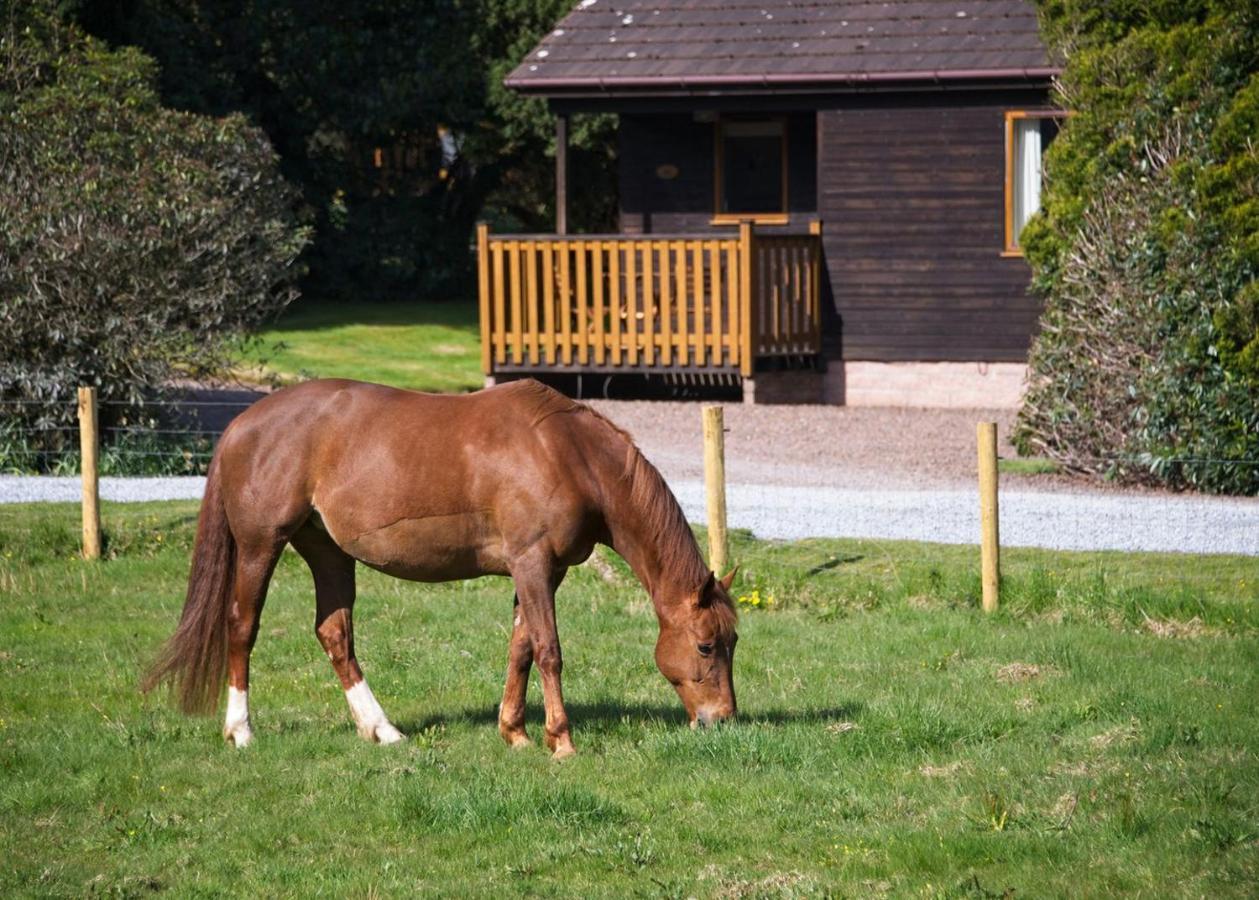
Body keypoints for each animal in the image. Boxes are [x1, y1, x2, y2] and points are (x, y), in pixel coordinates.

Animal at [144, 377, 735, 755]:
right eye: (706, 646)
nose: (722, 720)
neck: (568, 453)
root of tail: (242, 424)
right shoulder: (533, 564)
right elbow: (548, 651)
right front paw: (561, 740)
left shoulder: (541, 572)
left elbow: (520, 648)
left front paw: (515, 733)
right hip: (260, 546)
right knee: (242, 627)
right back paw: (241, 731)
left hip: (328, 552)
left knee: (335, 634)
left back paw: (381, 730)